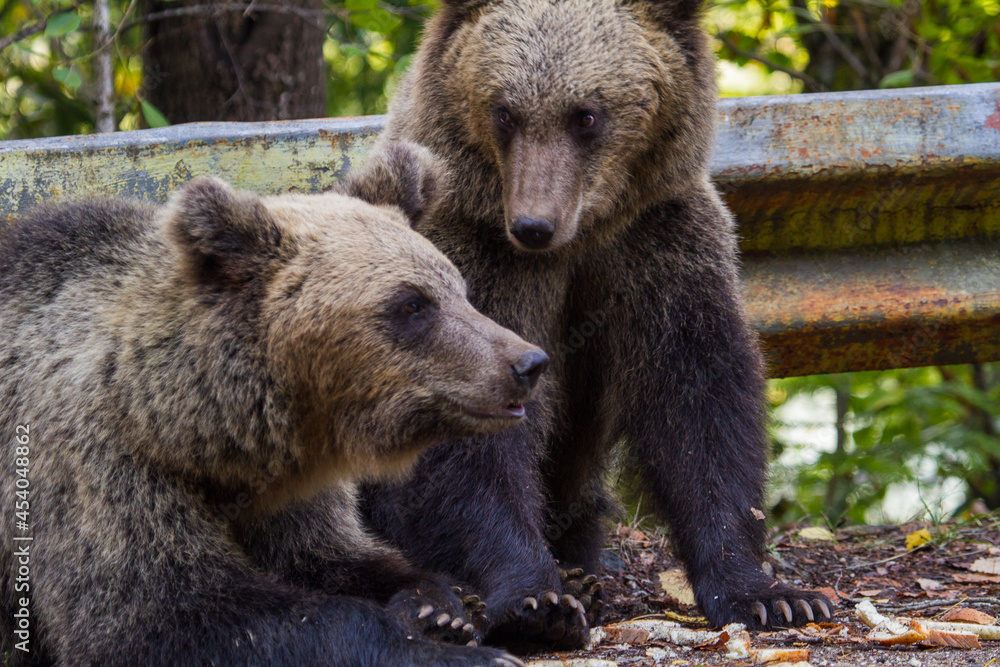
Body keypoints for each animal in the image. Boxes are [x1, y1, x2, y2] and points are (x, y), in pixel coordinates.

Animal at [0, 147, 540, 666]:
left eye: (460, 290)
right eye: (411, 304)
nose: (528, 362)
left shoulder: (289, 488)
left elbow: (331, 555)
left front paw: (438, 604)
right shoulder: (98, 468)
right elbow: (163, 616)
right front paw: (463, 652)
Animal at [350, 0, 834, 650]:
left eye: (587, 115)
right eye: (504, 112)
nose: (533, 224)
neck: (579, 240)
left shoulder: (658, 248)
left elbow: (700, 403)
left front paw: (770, 595)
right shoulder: (475, 263)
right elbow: (471, 429)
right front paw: (538, 600)